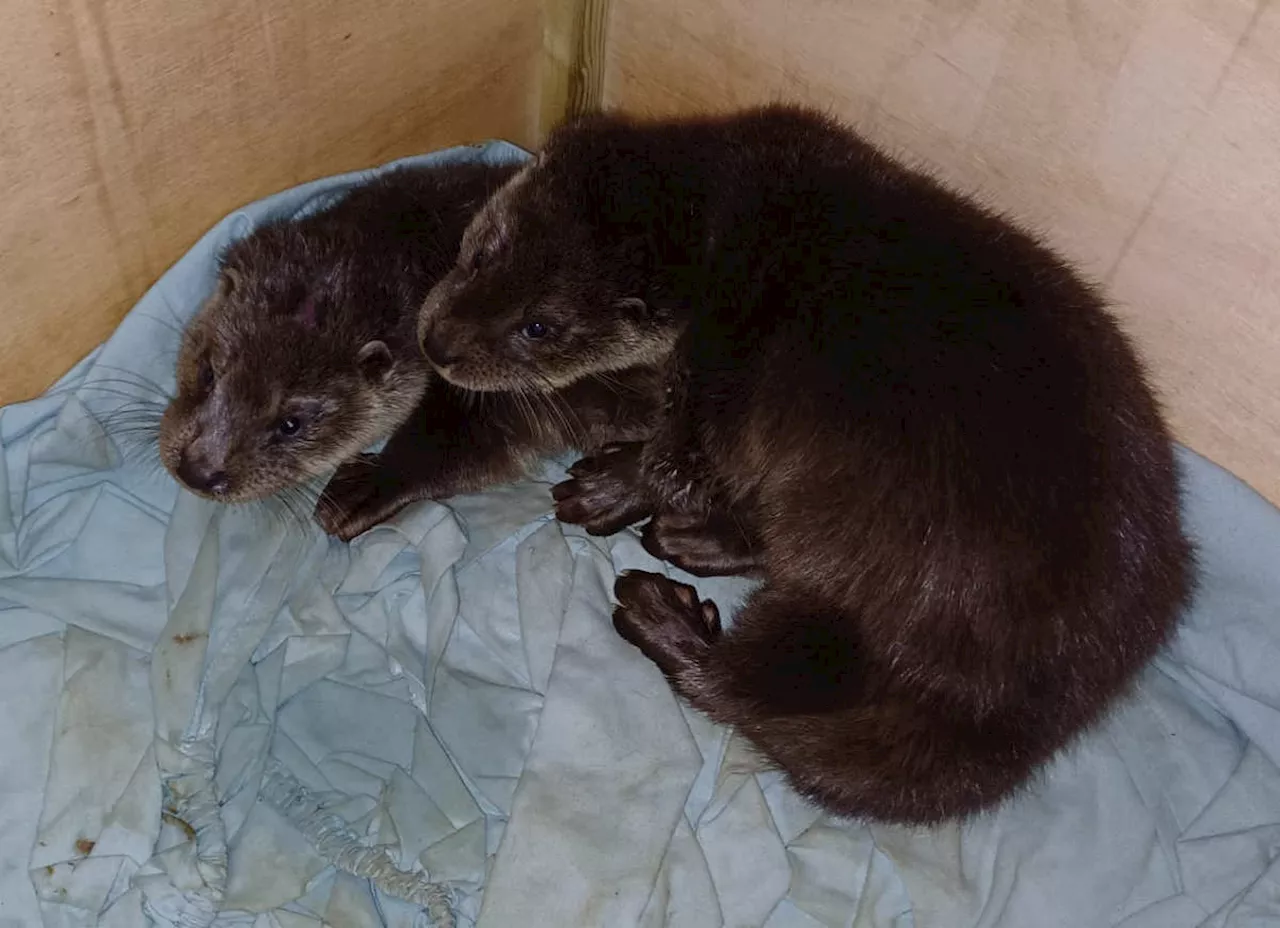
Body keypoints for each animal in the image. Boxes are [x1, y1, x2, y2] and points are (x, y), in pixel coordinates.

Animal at [160, 158, 660, 535]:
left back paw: (605, 492)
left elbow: (454, 448)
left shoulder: (487, 395)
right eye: (207, 372)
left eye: (290, 424)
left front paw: (362, 490)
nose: (199, 471)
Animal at [414, 106, 1192, 824]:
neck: (728, 223)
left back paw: (669, 611)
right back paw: (693, 543)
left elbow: (680, 457)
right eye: (482, 252)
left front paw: (618, 485)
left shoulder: (716, 368)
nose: (436, 343)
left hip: (870, 539)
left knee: (761, 682)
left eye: (538, 327)